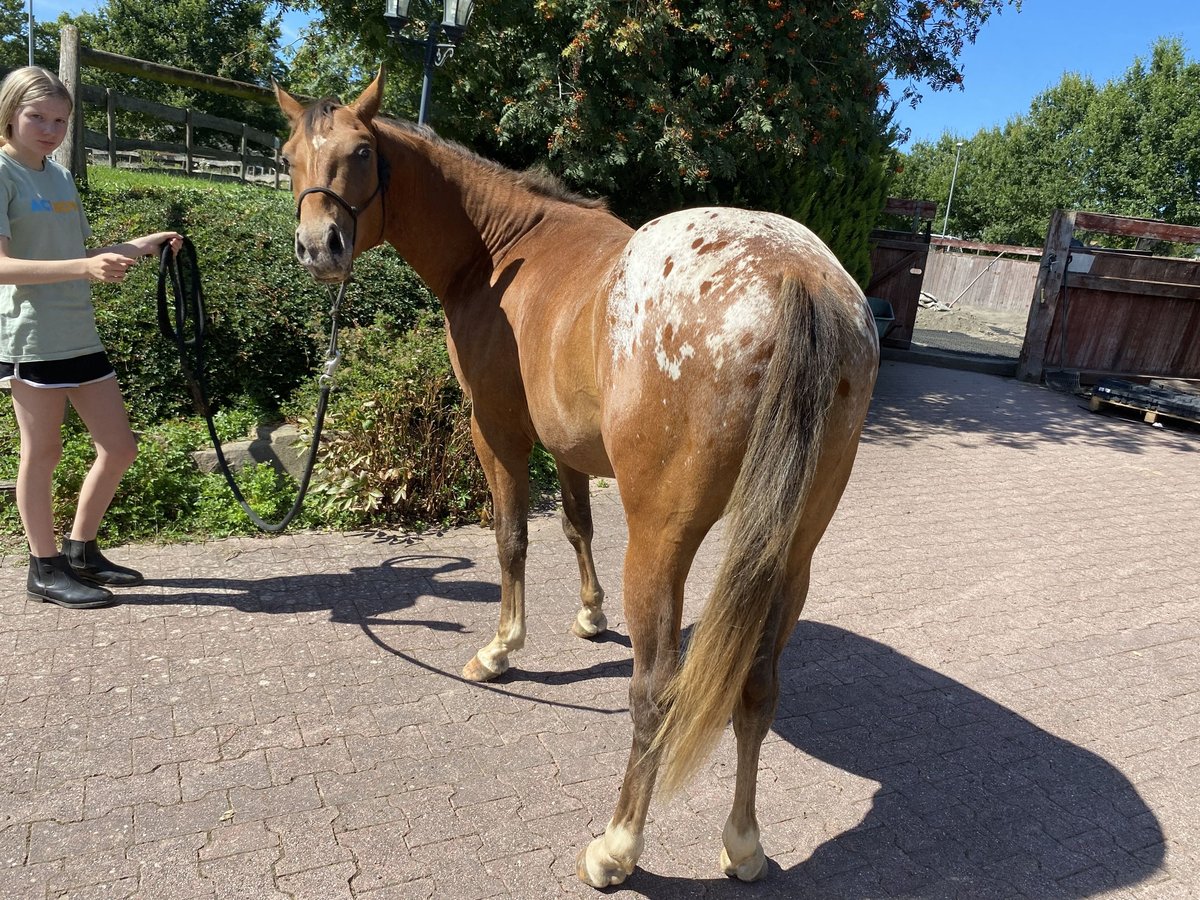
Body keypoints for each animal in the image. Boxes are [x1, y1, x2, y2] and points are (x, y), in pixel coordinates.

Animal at [278, 70, 883, 888]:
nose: (320, 246)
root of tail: (797, 275)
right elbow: (574, 524)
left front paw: (502, 648)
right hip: (791, 552)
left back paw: (617, 847)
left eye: (362, 152)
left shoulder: (498, 432)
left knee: (655, 692)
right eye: (289, 157)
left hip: (662, 543)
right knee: (756, 689)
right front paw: (592, 614)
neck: (502, 251)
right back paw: (744, 844)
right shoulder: (566, 445)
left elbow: (511, 541)